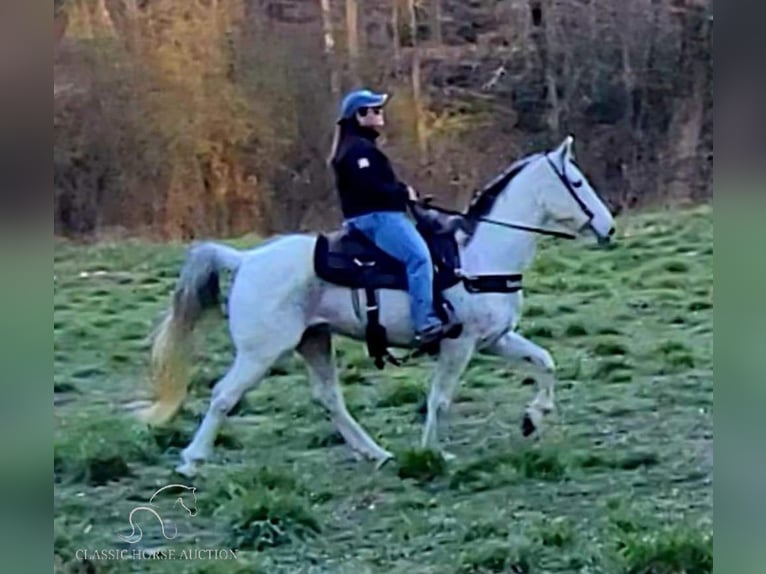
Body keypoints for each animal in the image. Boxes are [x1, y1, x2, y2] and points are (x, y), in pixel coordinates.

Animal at [140, 136, 616, 476]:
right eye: (576, 183)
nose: (609, 227)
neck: (480, 256)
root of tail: (245, 259)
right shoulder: (458, 345)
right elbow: (440, 399)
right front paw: (432, 454)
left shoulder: (496, 339)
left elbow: (545, 362)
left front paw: (534, 418)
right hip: (261, 352)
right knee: (224, 396)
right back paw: (192, 460)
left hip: (314, 340)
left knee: (329, 399)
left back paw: (375, 453)